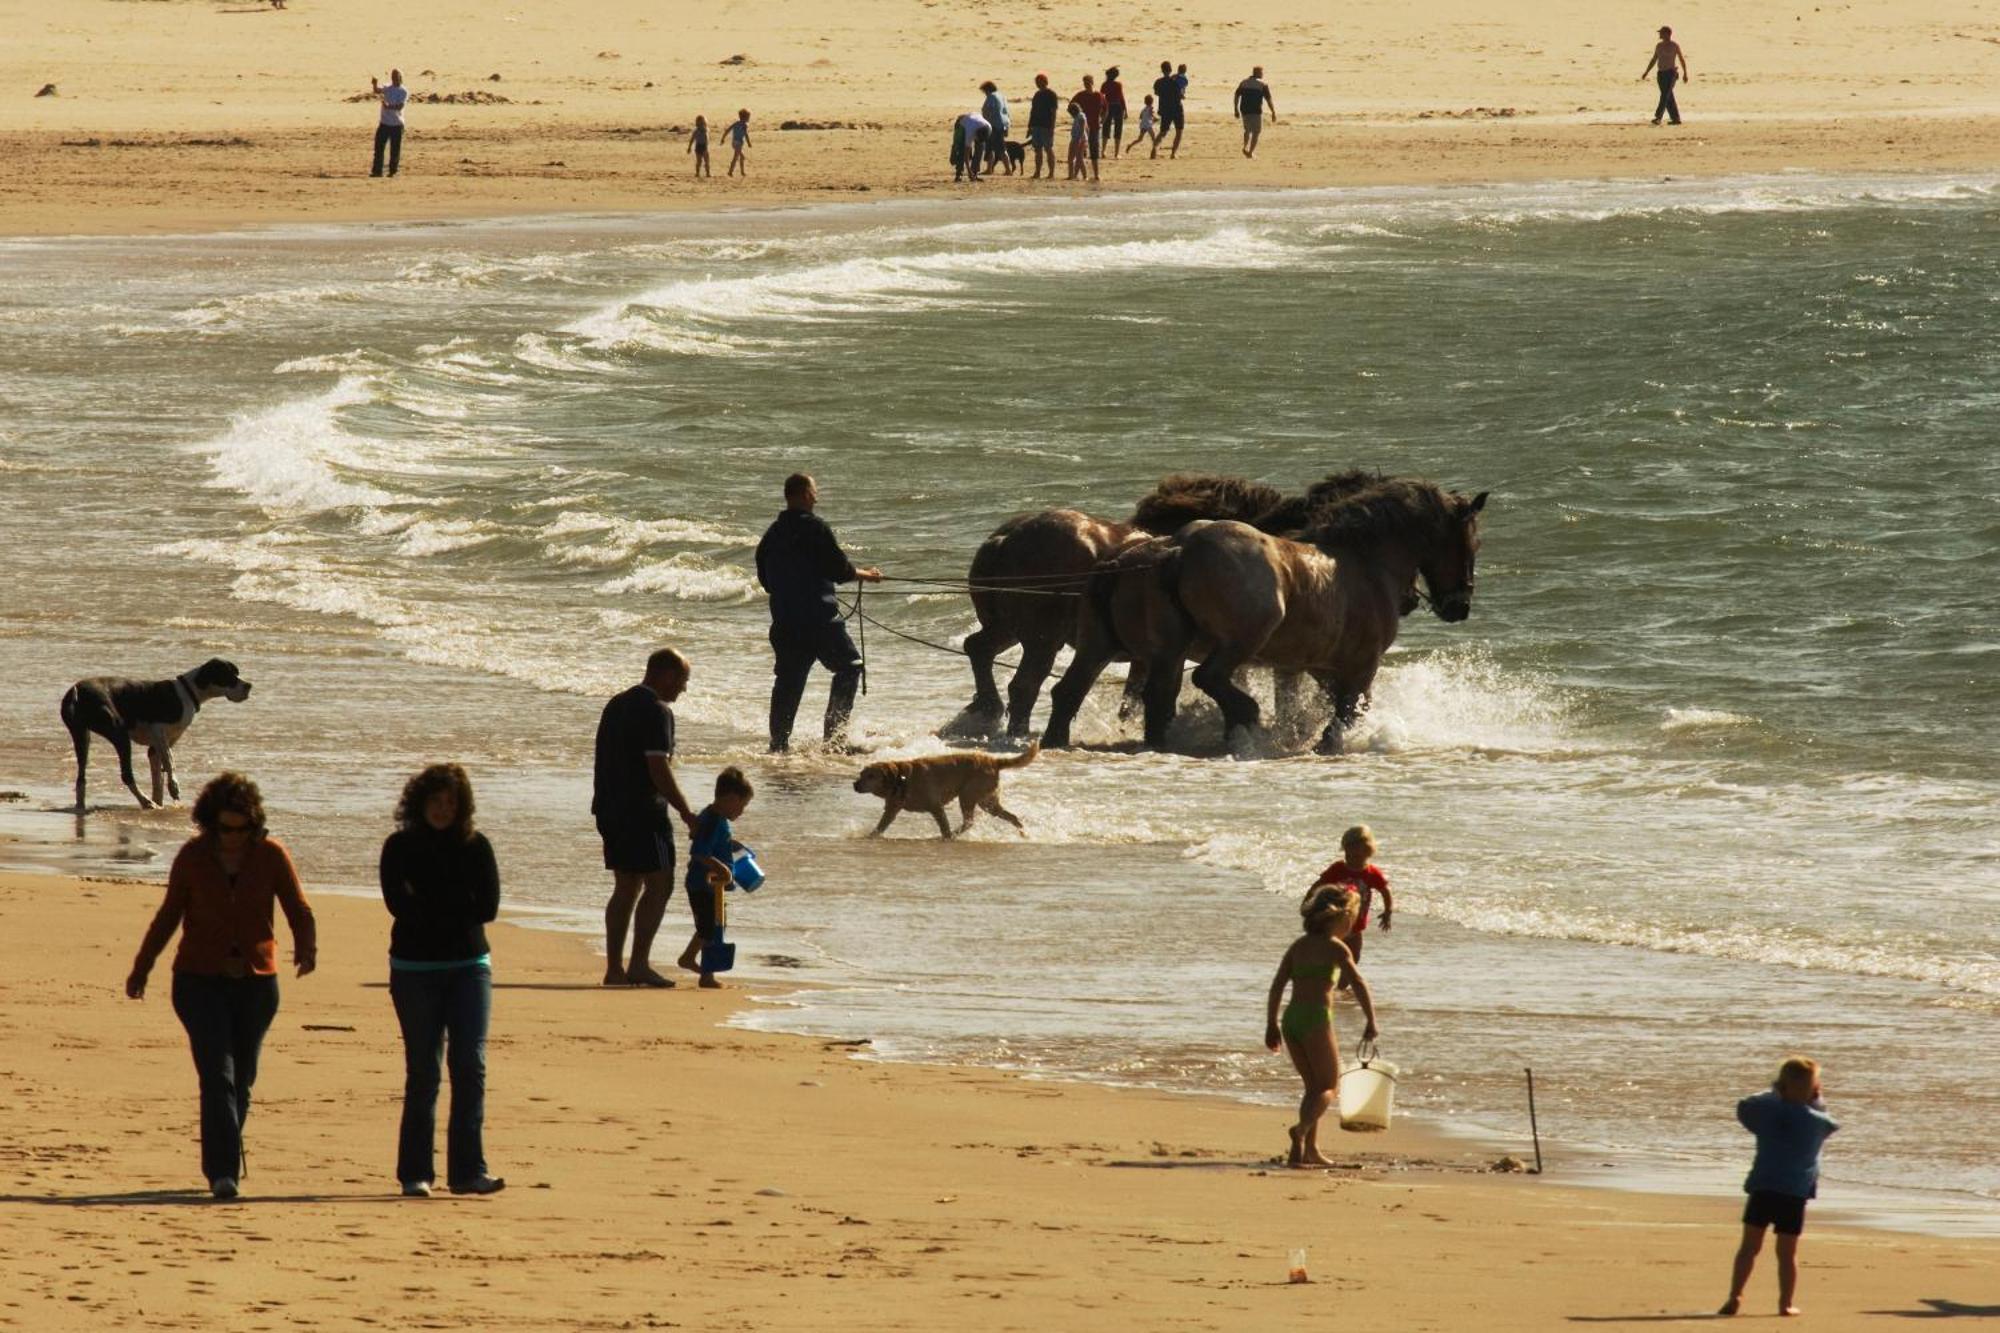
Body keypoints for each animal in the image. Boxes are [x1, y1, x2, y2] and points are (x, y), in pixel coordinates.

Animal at [59, 656, 254, 808]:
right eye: (229, 675)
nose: (249, 686)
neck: (188, 692)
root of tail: (77, 691)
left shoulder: (156, 747)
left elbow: (158, 777)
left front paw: (161, 801)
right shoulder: (158, 731)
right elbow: (170, 762)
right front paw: (173, 787)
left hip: (81, 736)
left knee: (81, 777)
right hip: (120, 735)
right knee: (126, 774)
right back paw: (145, 802)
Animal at [852, 740, 1040, 836]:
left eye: (871, 776)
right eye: (861, 774)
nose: (855, 784)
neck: (902, 779)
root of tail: (994, 761)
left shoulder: (936, 807)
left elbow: (944, 827)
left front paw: (946, 836)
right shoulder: (891, 810)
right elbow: (879, 828)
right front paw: (869, 836)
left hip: (968, 796)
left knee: (969, 822)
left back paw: (954, 835)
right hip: (988, 803)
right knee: (1013, 817)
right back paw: (1023, 834)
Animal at [952, 470, 1392, 736]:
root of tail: (1002, 540)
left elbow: (1134, 698)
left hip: (1007, 628)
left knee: (979, 648)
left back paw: (989, 708)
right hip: (1040, 637)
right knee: (1024, 684)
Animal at [1048, 478, 1488, 752]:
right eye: (1471, 541)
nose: (1459, 606)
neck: (1366, 563)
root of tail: (1177, 547)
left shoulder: (1317, 667)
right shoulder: (1360, 666)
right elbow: (1347, 714)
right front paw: (1321, 744)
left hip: (1113, 648)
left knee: (1077, 693)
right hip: (1237, 643)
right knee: (1203, 680)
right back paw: (1242, 720)